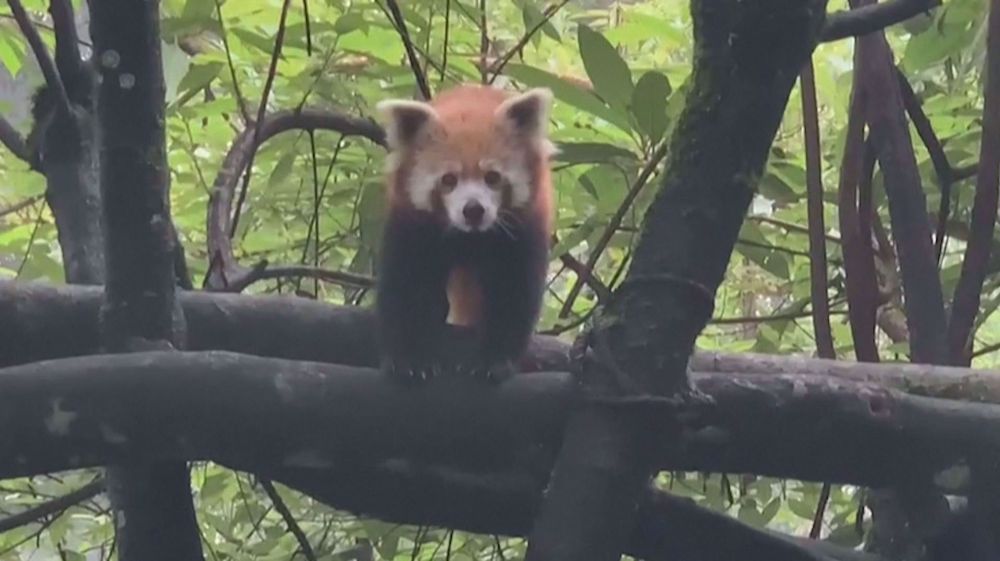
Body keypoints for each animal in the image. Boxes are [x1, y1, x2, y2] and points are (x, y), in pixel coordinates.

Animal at [374, 84, 556, 380]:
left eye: (492, 177)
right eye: (449, 180)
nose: (473, 210)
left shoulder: (522, 229)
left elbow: (513, 291)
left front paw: (493, 360)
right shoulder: (411, 224)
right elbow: (406, 286)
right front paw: (409, 359)